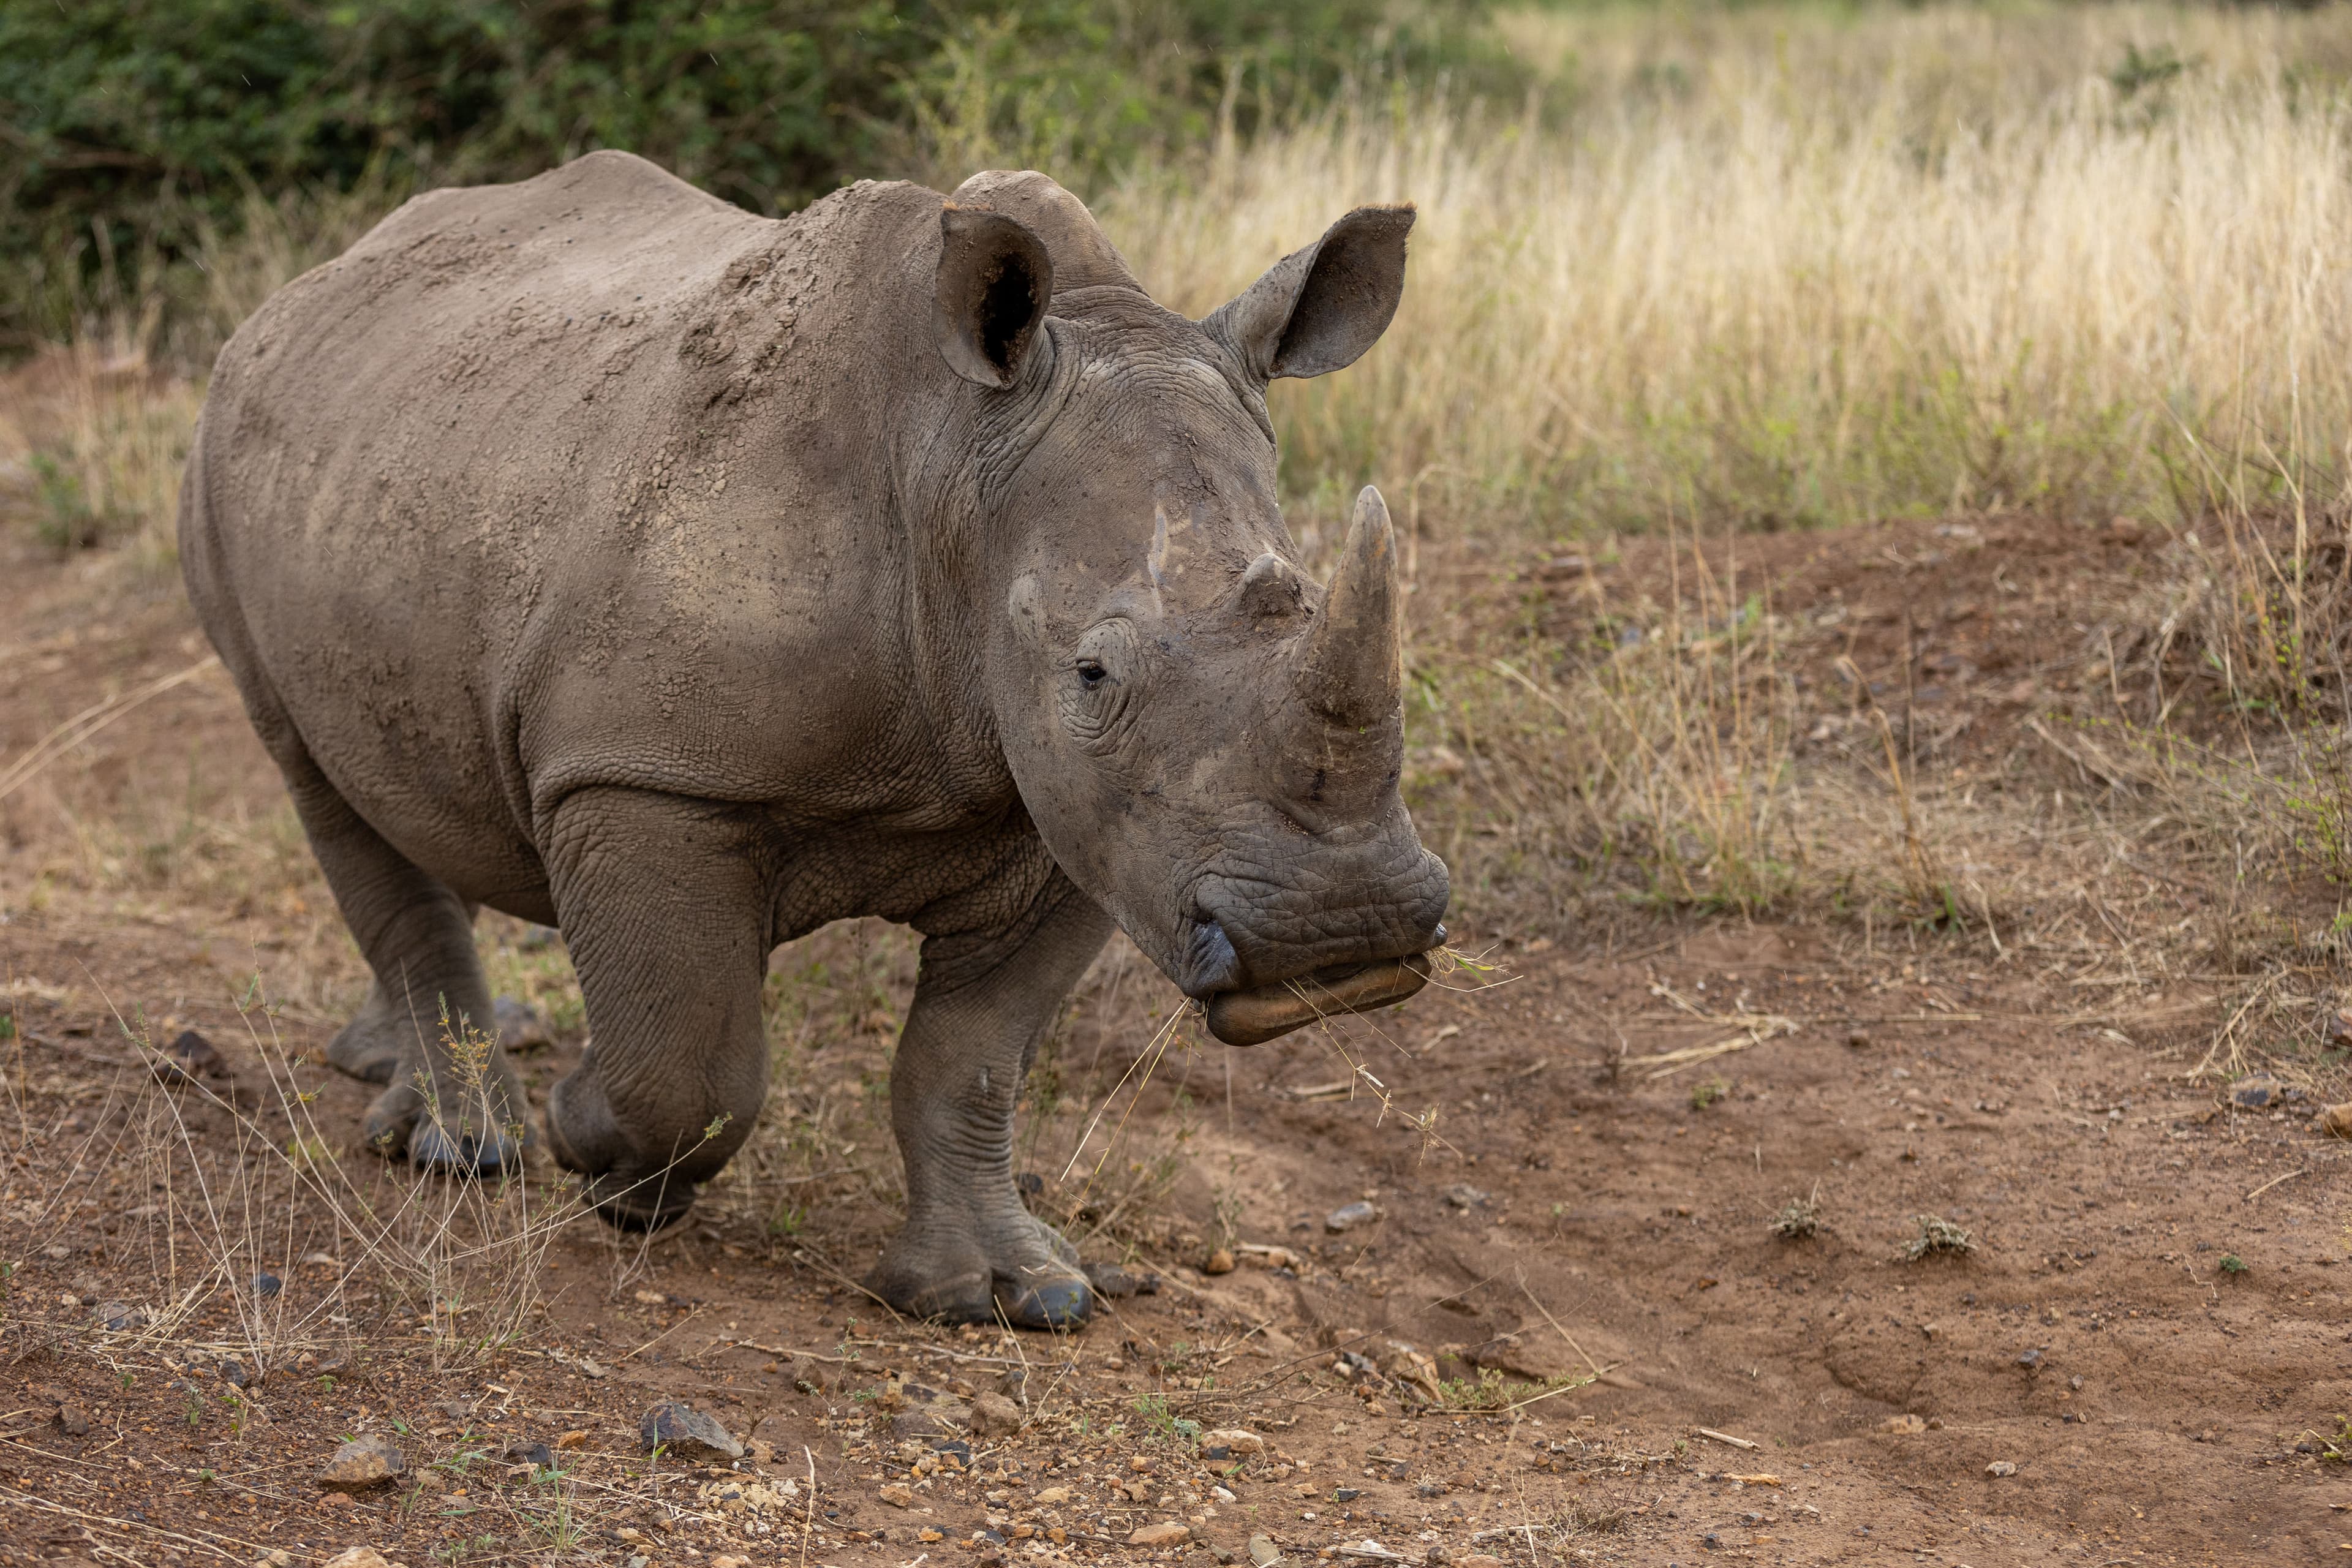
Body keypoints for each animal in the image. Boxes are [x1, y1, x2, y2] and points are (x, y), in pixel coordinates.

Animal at [178, 151, 1449, 1326]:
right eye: (1092, 674)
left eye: (1304, 605)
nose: (1343, 938)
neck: (954, 465)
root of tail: (305, 288)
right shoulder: (647, 777)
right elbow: (691, 1066)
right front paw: (600, 1152)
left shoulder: (1086, 817)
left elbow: (970, 1058)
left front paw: (1006, 1294)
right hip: (226, 462)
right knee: (314, 776)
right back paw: (460, 1149)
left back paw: (382, 1069)